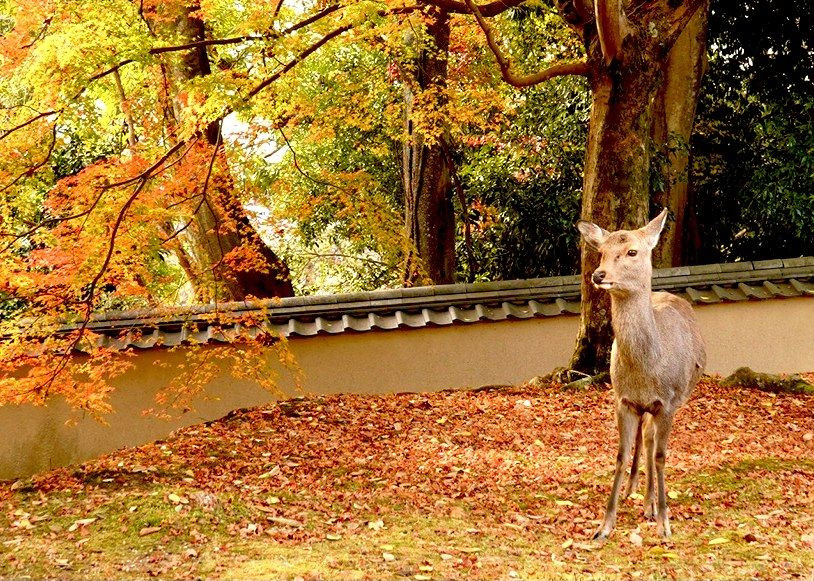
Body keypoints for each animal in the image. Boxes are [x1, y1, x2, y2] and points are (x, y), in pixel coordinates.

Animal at [572, 208, 708, 540]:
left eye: (632, 251)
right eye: (601, 251)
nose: (598, 275)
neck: (648, 371)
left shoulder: (668, 402)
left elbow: (660, 456)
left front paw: (664, 523)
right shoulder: (623, 400)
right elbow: (621, 455)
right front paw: (604, 526)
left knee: (650, 441)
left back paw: (650, 506)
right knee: (644, 438)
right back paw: (638, 496)